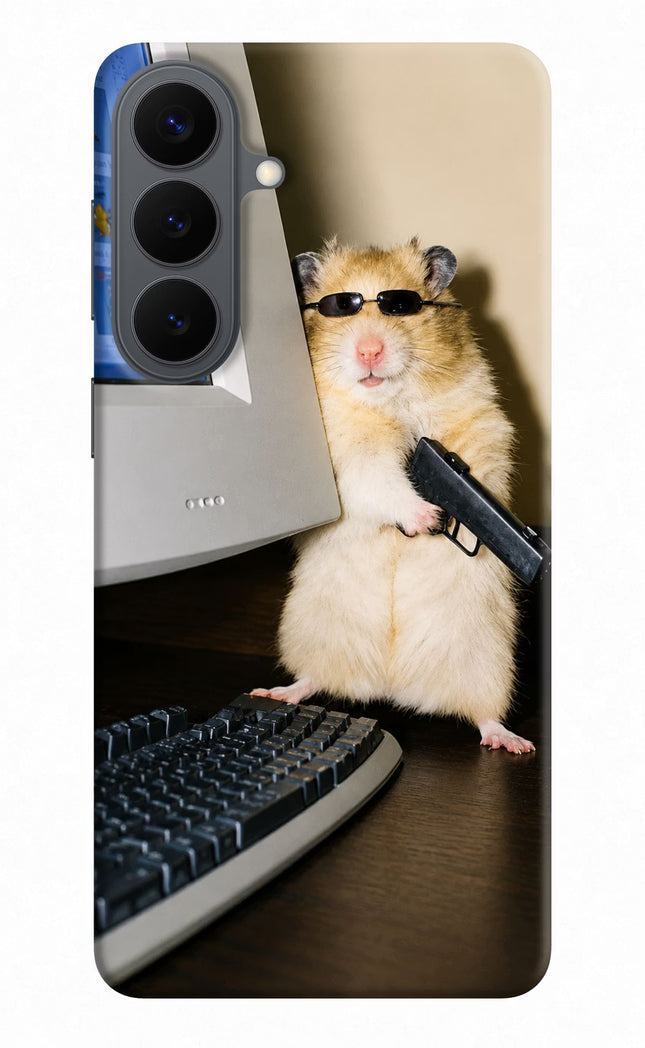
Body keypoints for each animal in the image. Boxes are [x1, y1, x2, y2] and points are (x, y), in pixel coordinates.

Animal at [252, 238, 534, 754]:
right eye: (340, 307)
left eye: (401, 306)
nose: (369, 350)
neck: (389, 401)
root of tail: (393, 685)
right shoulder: (348, 458)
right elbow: (380, 481)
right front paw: (428, 518)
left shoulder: (481, 424)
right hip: (312, 632)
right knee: (313, 678)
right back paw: (276, 692)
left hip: (487, 660)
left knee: (484, 714)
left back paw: (512, 742)